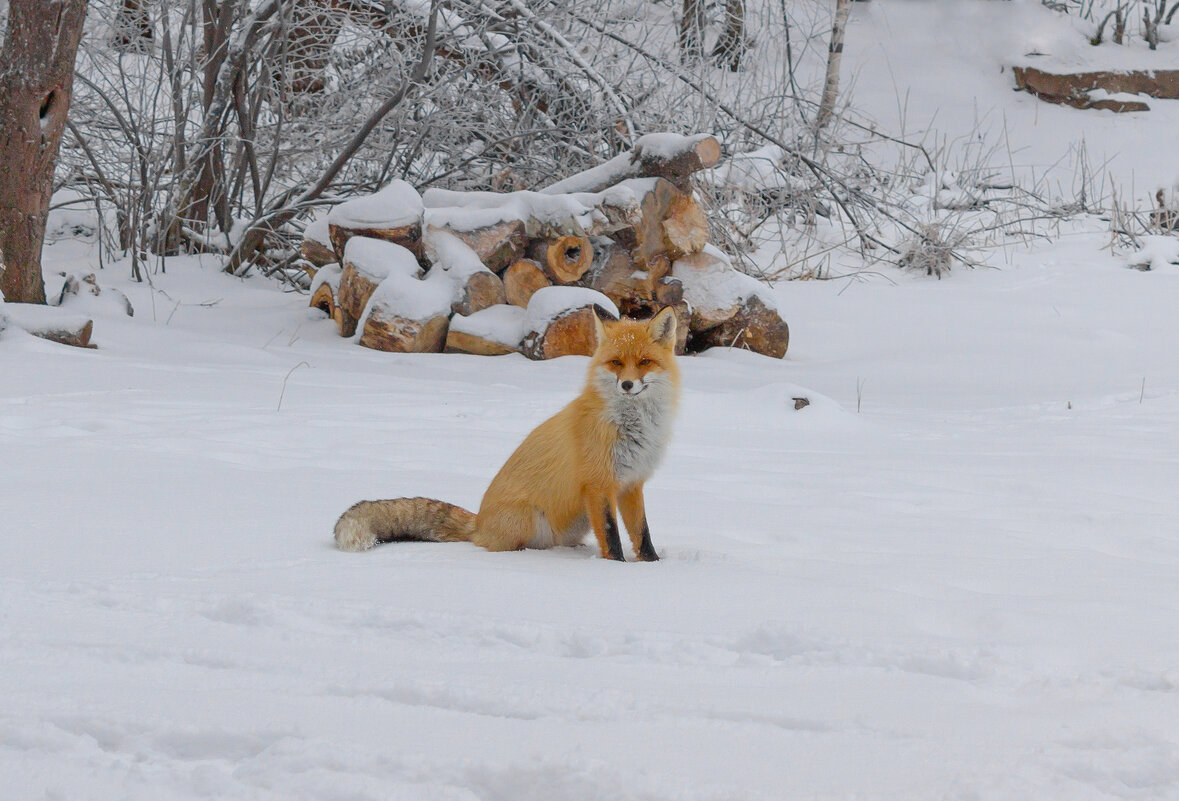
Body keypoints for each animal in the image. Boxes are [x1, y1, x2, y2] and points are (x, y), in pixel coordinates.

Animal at [332, 306, 683, 563]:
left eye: (644, 362)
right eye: (616, 363)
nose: (627, 385)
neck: (632, 426)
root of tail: (479, 522)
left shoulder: (631, 484)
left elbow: (641, 533)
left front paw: (652, 565)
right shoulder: (599, 485)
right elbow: (611, 536)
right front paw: (617, 568)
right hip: (532, 519)